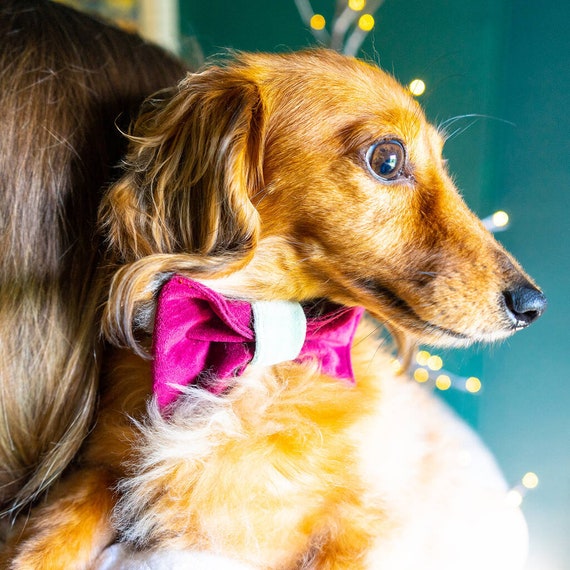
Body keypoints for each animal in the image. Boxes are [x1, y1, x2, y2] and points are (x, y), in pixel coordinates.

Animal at [0, 10, 544, 568]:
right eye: (388, 160)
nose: (533, 304)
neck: (260, 345)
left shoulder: (367, 524)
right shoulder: (103, 470)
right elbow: (53, 531)